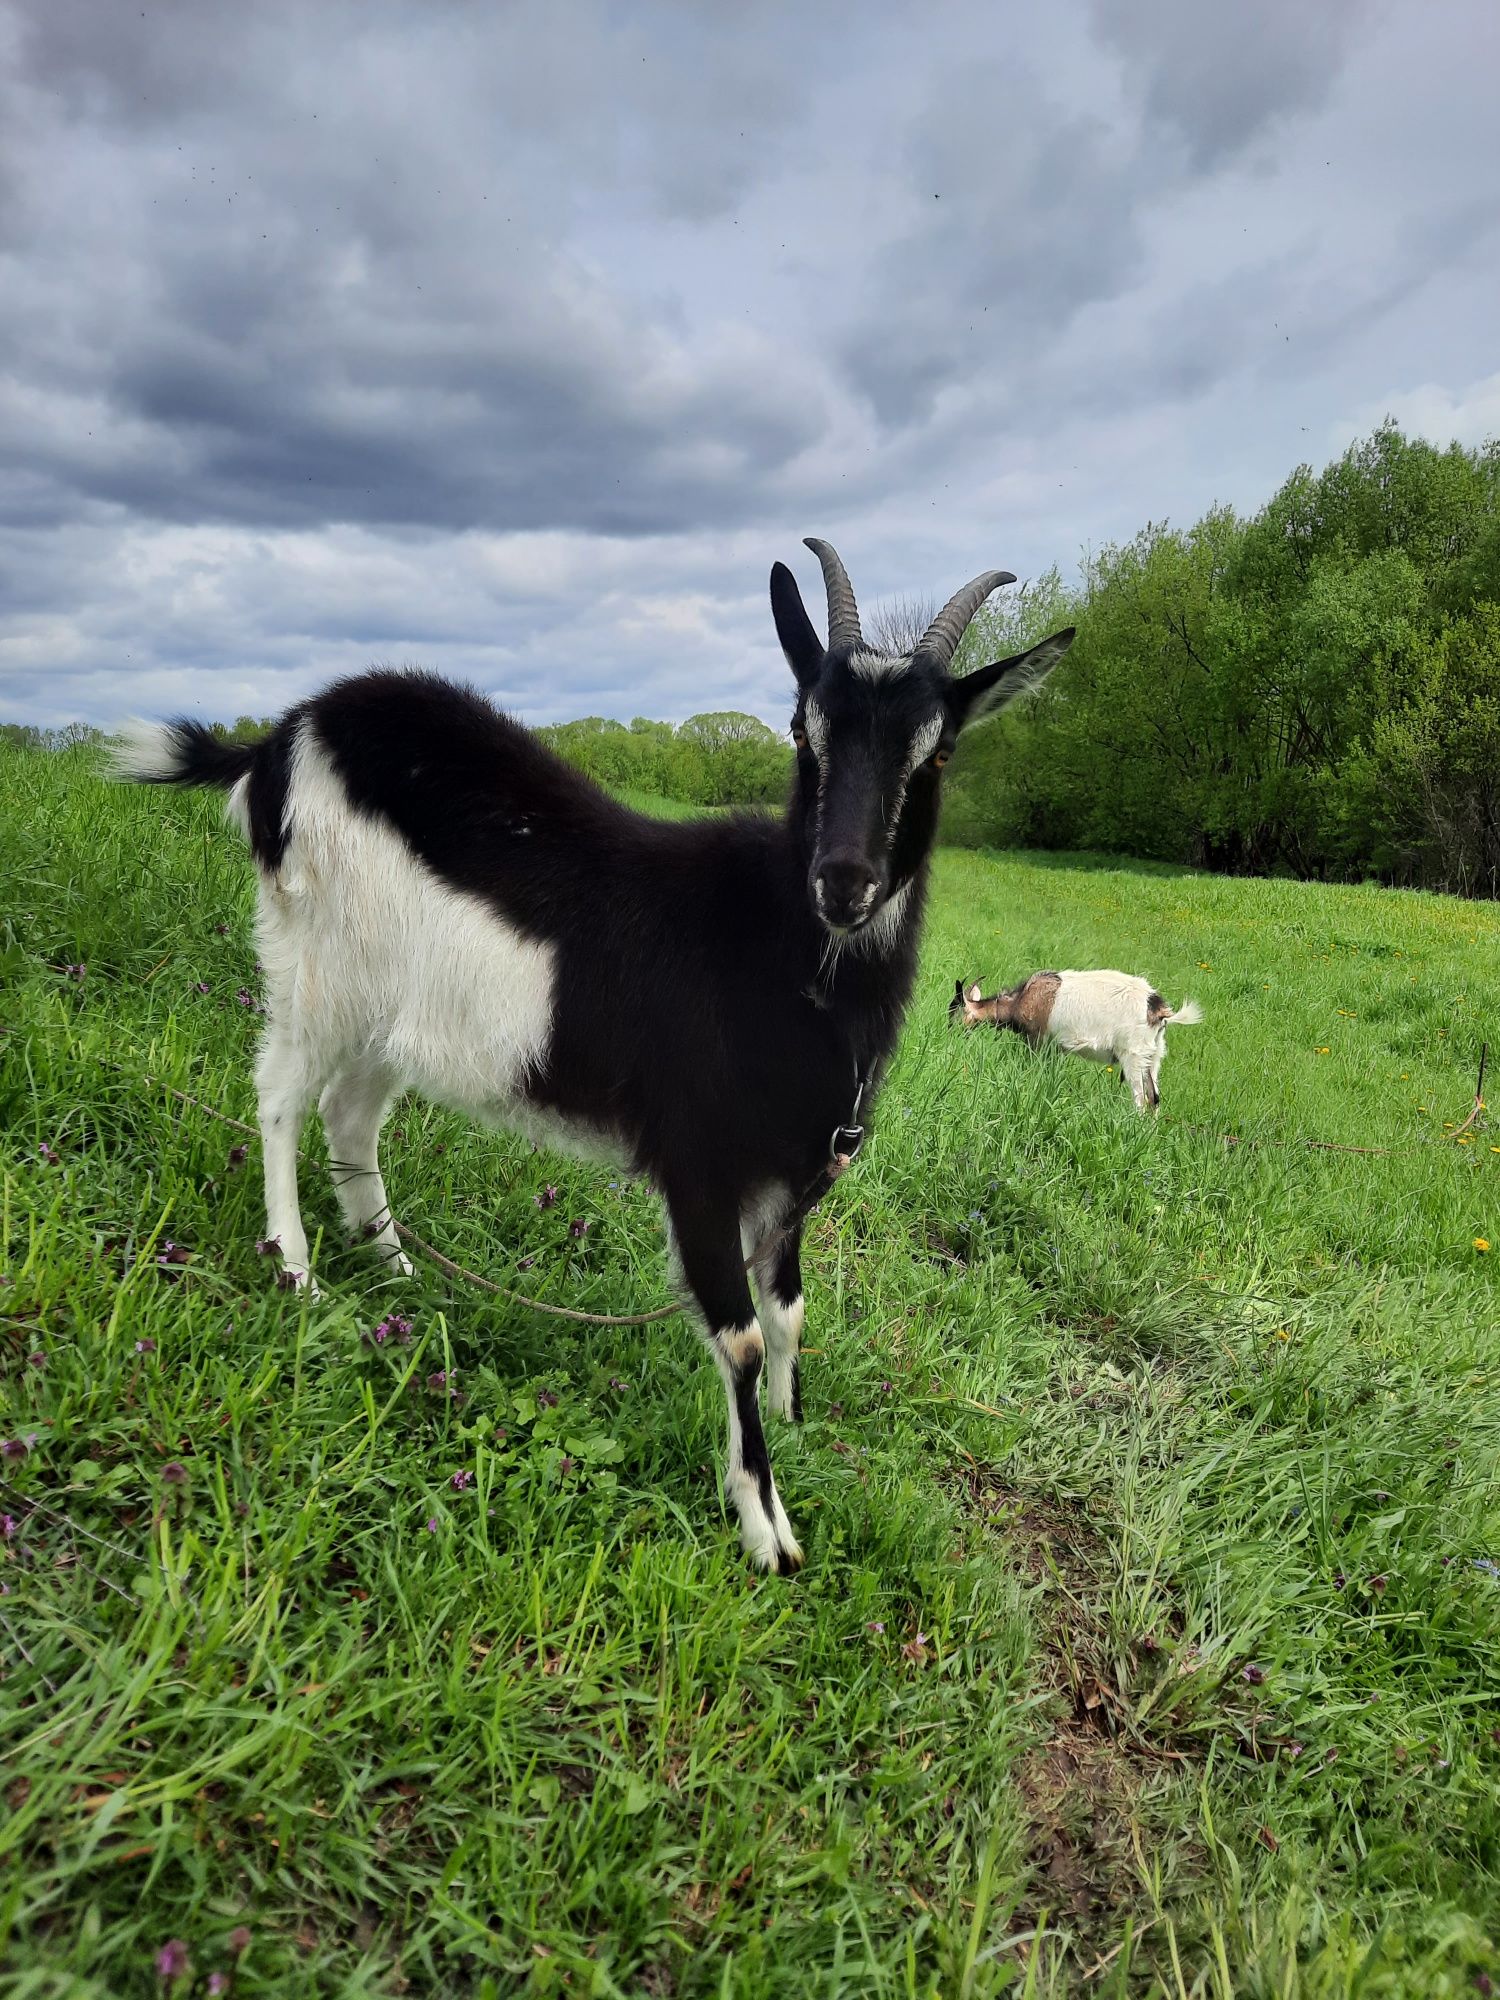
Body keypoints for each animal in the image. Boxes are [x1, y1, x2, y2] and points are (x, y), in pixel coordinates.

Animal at [123, 540, 1072, 1568]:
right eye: (801, 729)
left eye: (937, 751)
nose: (845, 882)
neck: (783, 956)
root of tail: (281, 736)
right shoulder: (699, 1162)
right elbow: (740, 1336)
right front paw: (767, 1530)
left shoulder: (792, 1170)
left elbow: (789, 1311)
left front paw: (798, 1426)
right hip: (320, 955)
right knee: (281, 1096)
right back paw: (295, 1269)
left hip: (397, 1005)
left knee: (350, 1114)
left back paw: (393, 1267)